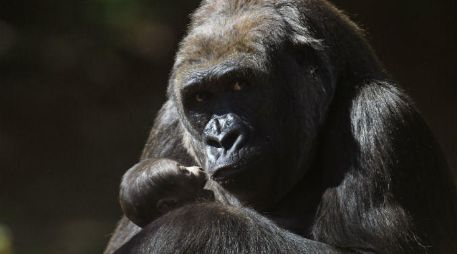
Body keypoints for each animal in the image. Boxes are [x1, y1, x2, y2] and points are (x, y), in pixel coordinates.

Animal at [104, 0, 456, 254]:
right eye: (201, 97)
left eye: (239, 85)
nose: (221, 138)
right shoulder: (167, 124)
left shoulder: (379, 114)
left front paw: (188, 224)